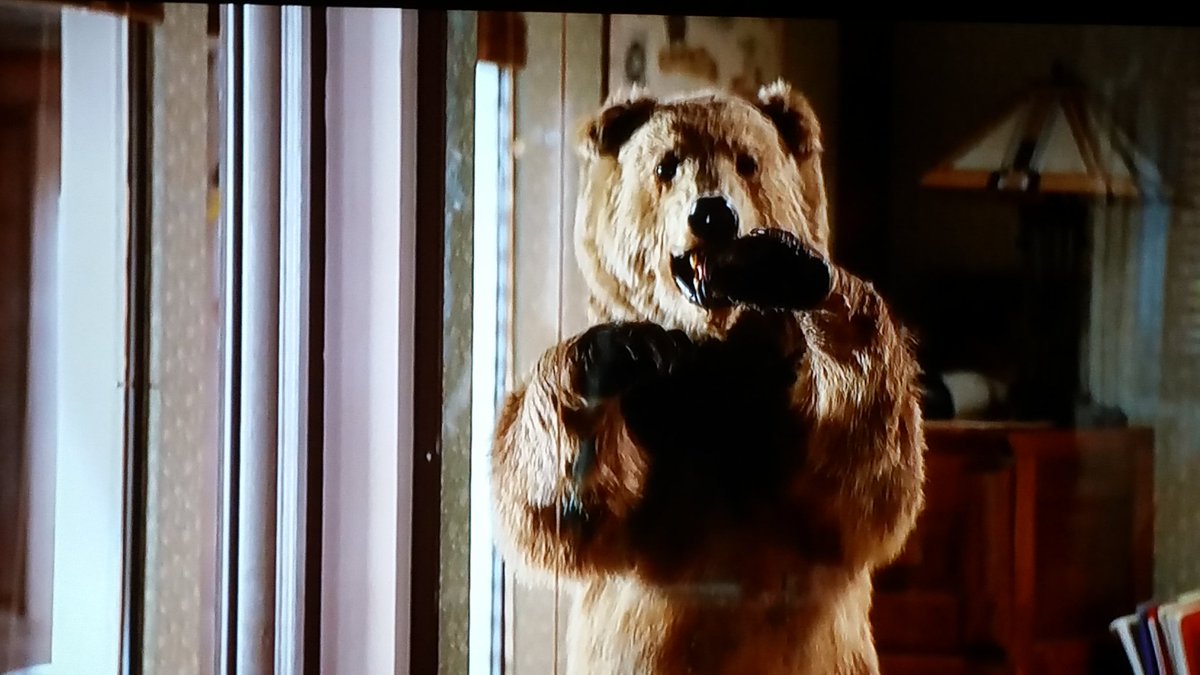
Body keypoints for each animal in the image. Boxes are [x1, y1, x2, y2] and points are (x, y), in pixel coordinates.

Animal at [490, 80, 927, 675]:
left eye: (748, 161)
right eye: (666, 165)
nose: (714, 213)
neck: (715, 349)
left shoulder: (790, 404)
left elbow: (864, 482)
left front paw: (786, 265)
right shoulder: (652, 420)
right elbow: (553, 507)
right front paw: (619, 351)